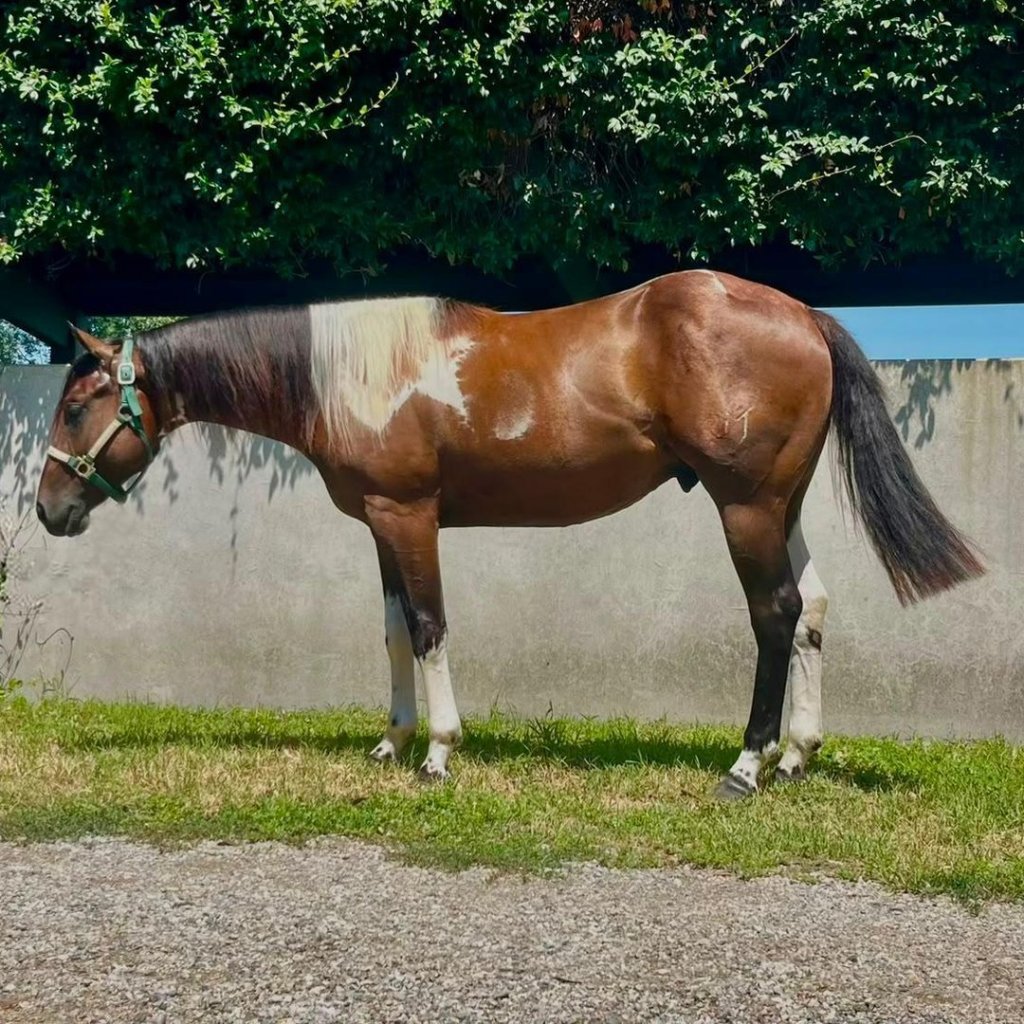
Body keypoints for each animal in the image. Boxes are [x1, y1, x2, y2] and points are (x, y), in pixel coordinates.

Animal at [35, 270, 984, 799]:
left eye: (79, 404)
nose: (48, 509)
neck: (353, 374)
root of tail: (803, 316)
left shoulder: (409, 515)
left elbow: (429, 627)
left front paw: (438, 754)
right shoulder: (379, 524)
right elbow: (392, 632)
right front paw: (391, 742)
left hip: (745, 505)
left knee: (776, 614)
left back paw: (748, 767)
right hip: (779, 506)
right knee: (814, 607)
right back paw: (797, 757)